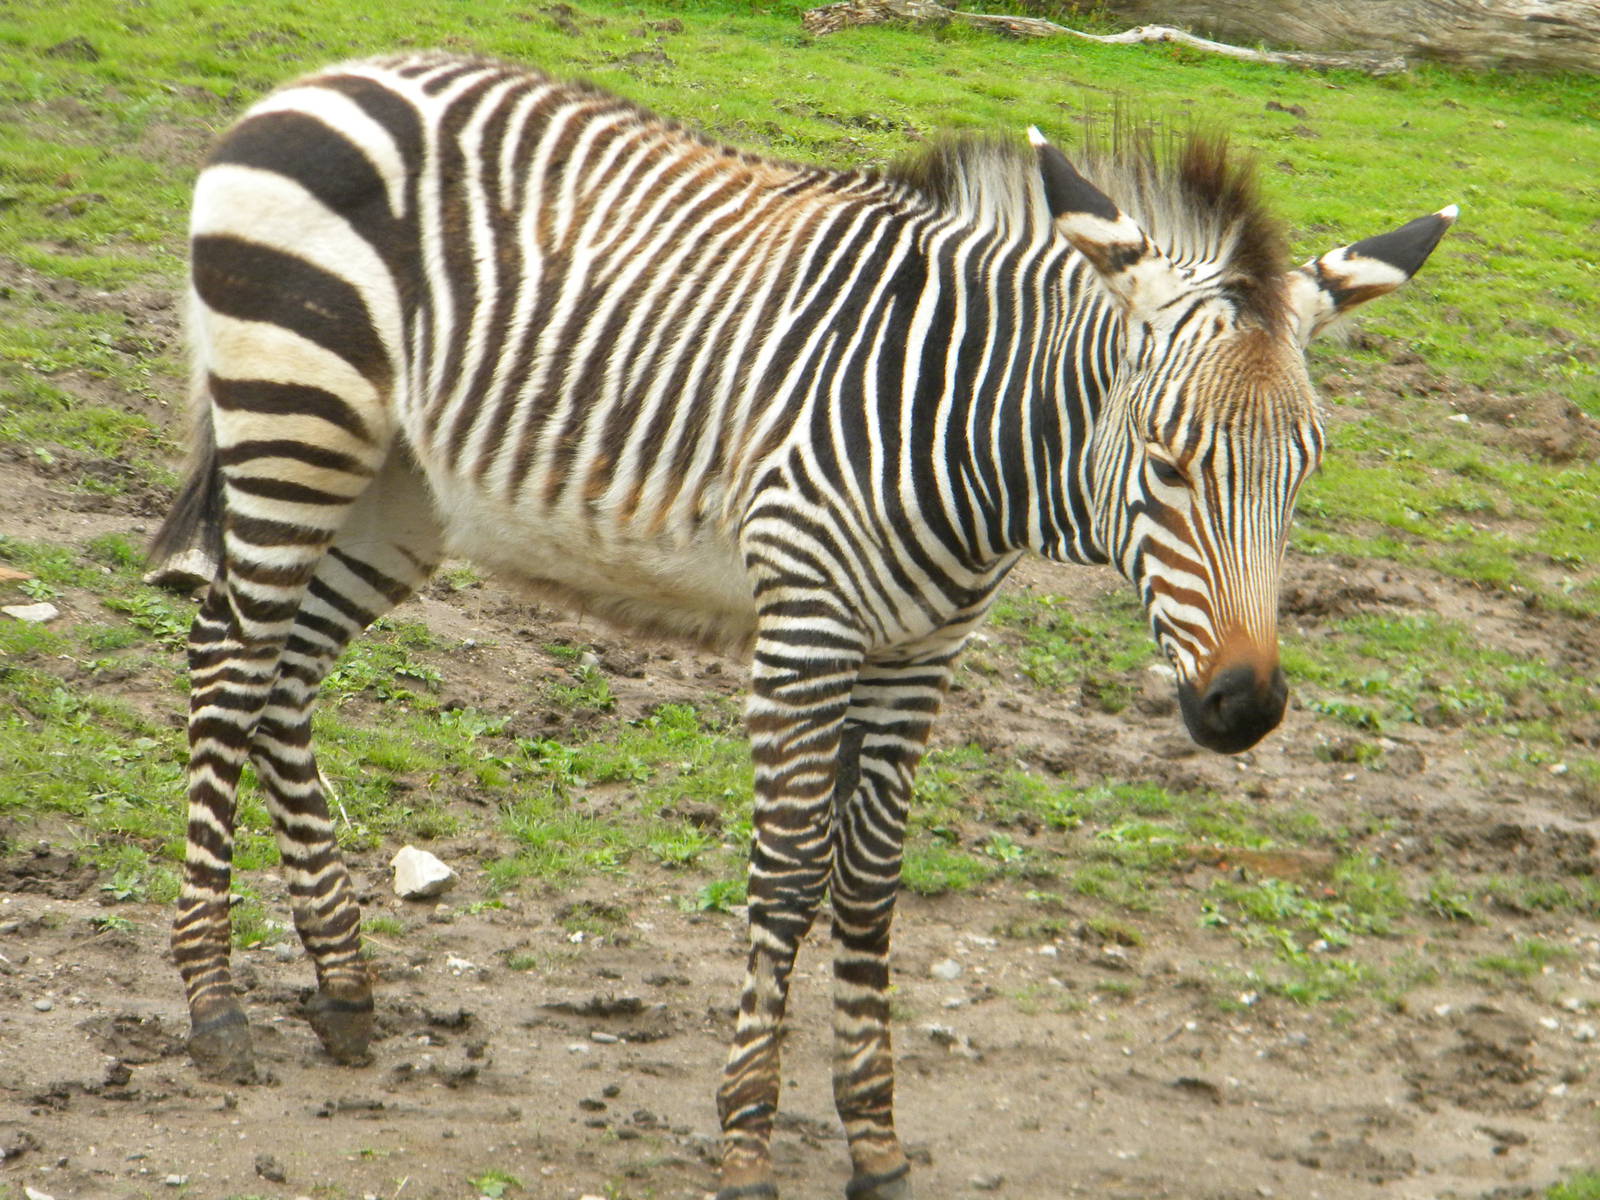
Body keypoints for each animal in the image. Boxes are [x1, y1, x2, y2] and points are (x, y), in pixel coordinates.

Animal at [148, 52, 1454, 1199]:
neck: (964, 426)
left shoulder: (920, 655)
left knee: (283, 681)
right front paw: (745, 1142)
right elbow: (783, 880)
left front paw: (875, 1143)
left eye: (1304, 472)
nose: (1243, 709)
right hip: (297, 420)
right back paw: (214, 1003)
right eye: (1167, 464)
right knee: (228, 665)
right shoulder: (810, 627)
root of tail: (325, 76)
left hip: (398, 481)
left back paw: (343, 989)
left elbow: (867, 887)